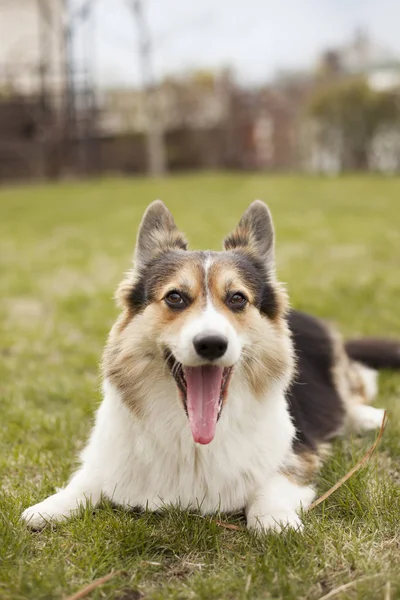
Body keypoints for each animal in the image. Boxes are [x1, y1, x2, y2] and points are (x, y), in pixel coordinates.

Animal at [21, 200, 400, 528]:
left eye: (237, 299)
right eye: (175, 297)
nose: (211, 344)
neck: (193, 440)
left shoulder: (296, 453)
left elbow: (270, 485)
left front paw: (275, 520)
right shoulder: (109, 453)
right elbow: (87, 477)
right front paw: (51, 506)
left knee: (356, 391)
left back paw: (369, 416)